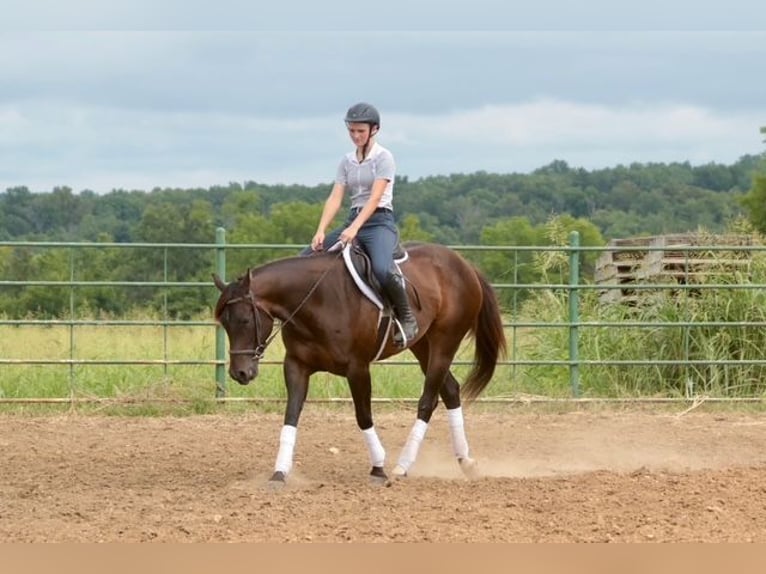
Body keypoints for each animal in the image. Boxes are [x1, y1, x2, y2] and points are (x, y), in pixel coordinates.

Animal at [213, 241, 507, 485]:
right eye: (224, 323)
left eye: (244, 320)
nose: (240, 373)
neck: (316, 300)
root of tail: (464, 264)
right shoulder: (296, 366)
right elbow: (291, 415)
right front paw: (280, 472)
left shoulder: (358, 369)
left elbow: (363, 416)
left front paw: (378, 468)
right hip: (423, 346)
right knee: (450, 391)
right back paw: (465, 462)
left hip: (445, 343)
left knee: (428, 401)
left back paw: (403, 465)